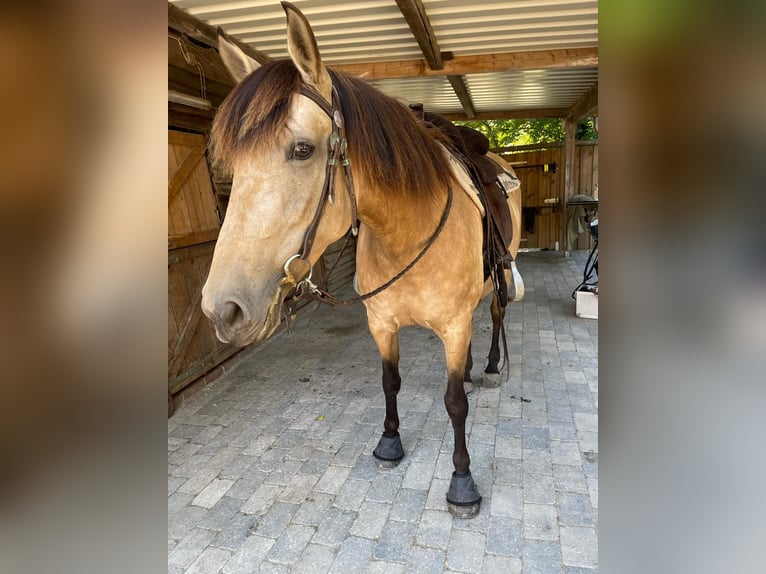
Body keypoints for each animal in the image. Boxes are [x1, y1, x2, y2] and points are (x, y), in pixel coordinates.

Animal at [201, 1, 524, 520]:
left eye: (302, 149)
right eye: (232, 166)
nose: (222, 310)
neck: (407, 234)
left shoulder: (452, 325)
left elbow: (454, 402)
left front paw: (462, 482)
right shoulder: (382, 323)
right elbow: (390, 383)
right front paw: (389, 444)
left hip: (500, 271)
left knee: (494, 315)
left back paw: (490, 367)